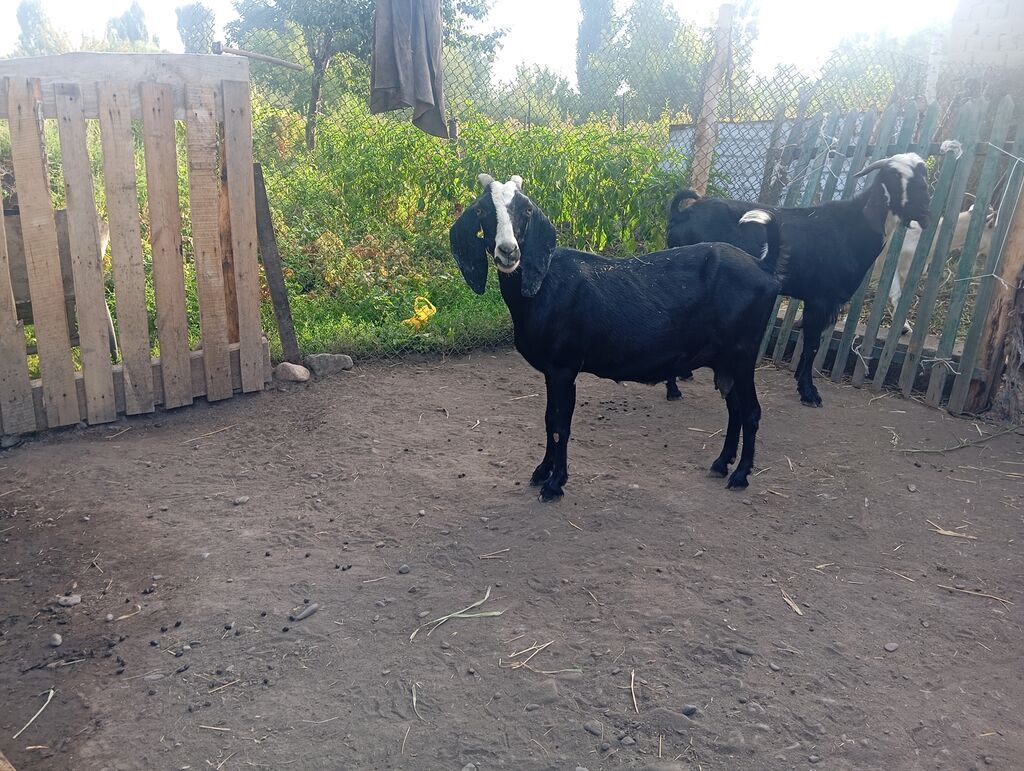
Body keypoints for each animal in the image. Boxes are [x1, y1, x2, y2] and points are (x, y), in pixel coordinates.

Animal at [450, 174, 784, 500]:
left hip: (742, 354)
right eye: (481, 211)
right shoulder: (551, 371)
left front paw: (555, 484)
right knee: (735, 409)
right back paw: (721, 463)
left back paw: (741, 476)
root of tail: (763, 266)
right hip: (724, 360)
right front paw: (542, 472)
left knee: (751, 411)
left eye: (527, 210)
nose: (508, 251)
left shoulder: (564, 368)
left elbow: (560, 424)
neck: (544, 285)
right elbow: (548, 420)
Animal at [665, 153, 932, 407]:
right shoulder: (821, 299)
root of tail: (681, 215)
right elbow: (812, 345)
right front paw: (809, 392)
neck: (852, 227)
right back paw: (674, 389)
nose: (924, 212)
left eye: (923, 177)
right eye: (895, 178)